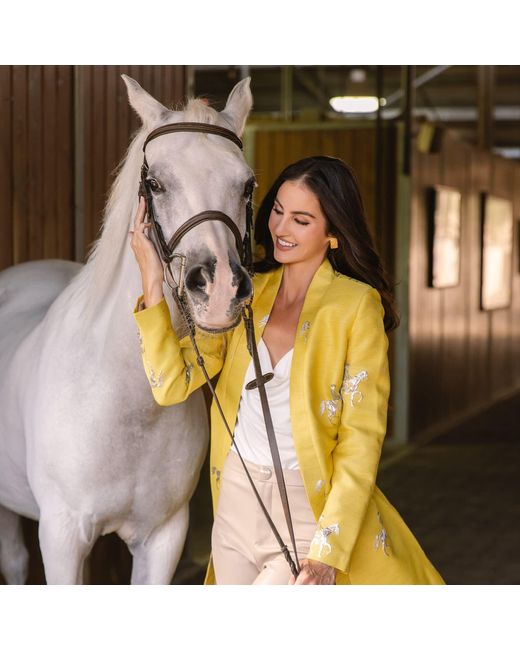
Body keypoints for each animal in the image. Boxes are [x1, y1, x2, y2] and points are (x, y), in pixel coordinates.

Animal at [0, 73, 254, 584]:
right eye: (155, 183)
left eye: (247, 185)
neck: (126, 400)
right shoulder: (61, 538)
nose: (219, 289)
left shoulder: (163, 538)